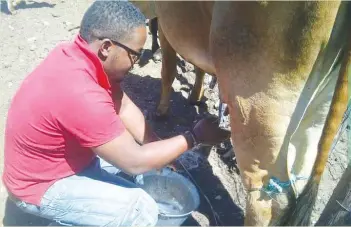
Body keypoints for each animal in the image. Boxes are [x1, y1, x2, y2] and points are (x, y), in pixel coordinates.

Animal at [131, 0, 350, 226]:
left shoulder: (165, 24)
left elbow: (168, 70)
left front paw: (161, 110)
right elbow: (199, 69)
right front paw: (195, 95)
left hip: (258, 105)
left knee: (264, 202)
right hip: (315, 117)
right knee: (291, 192)